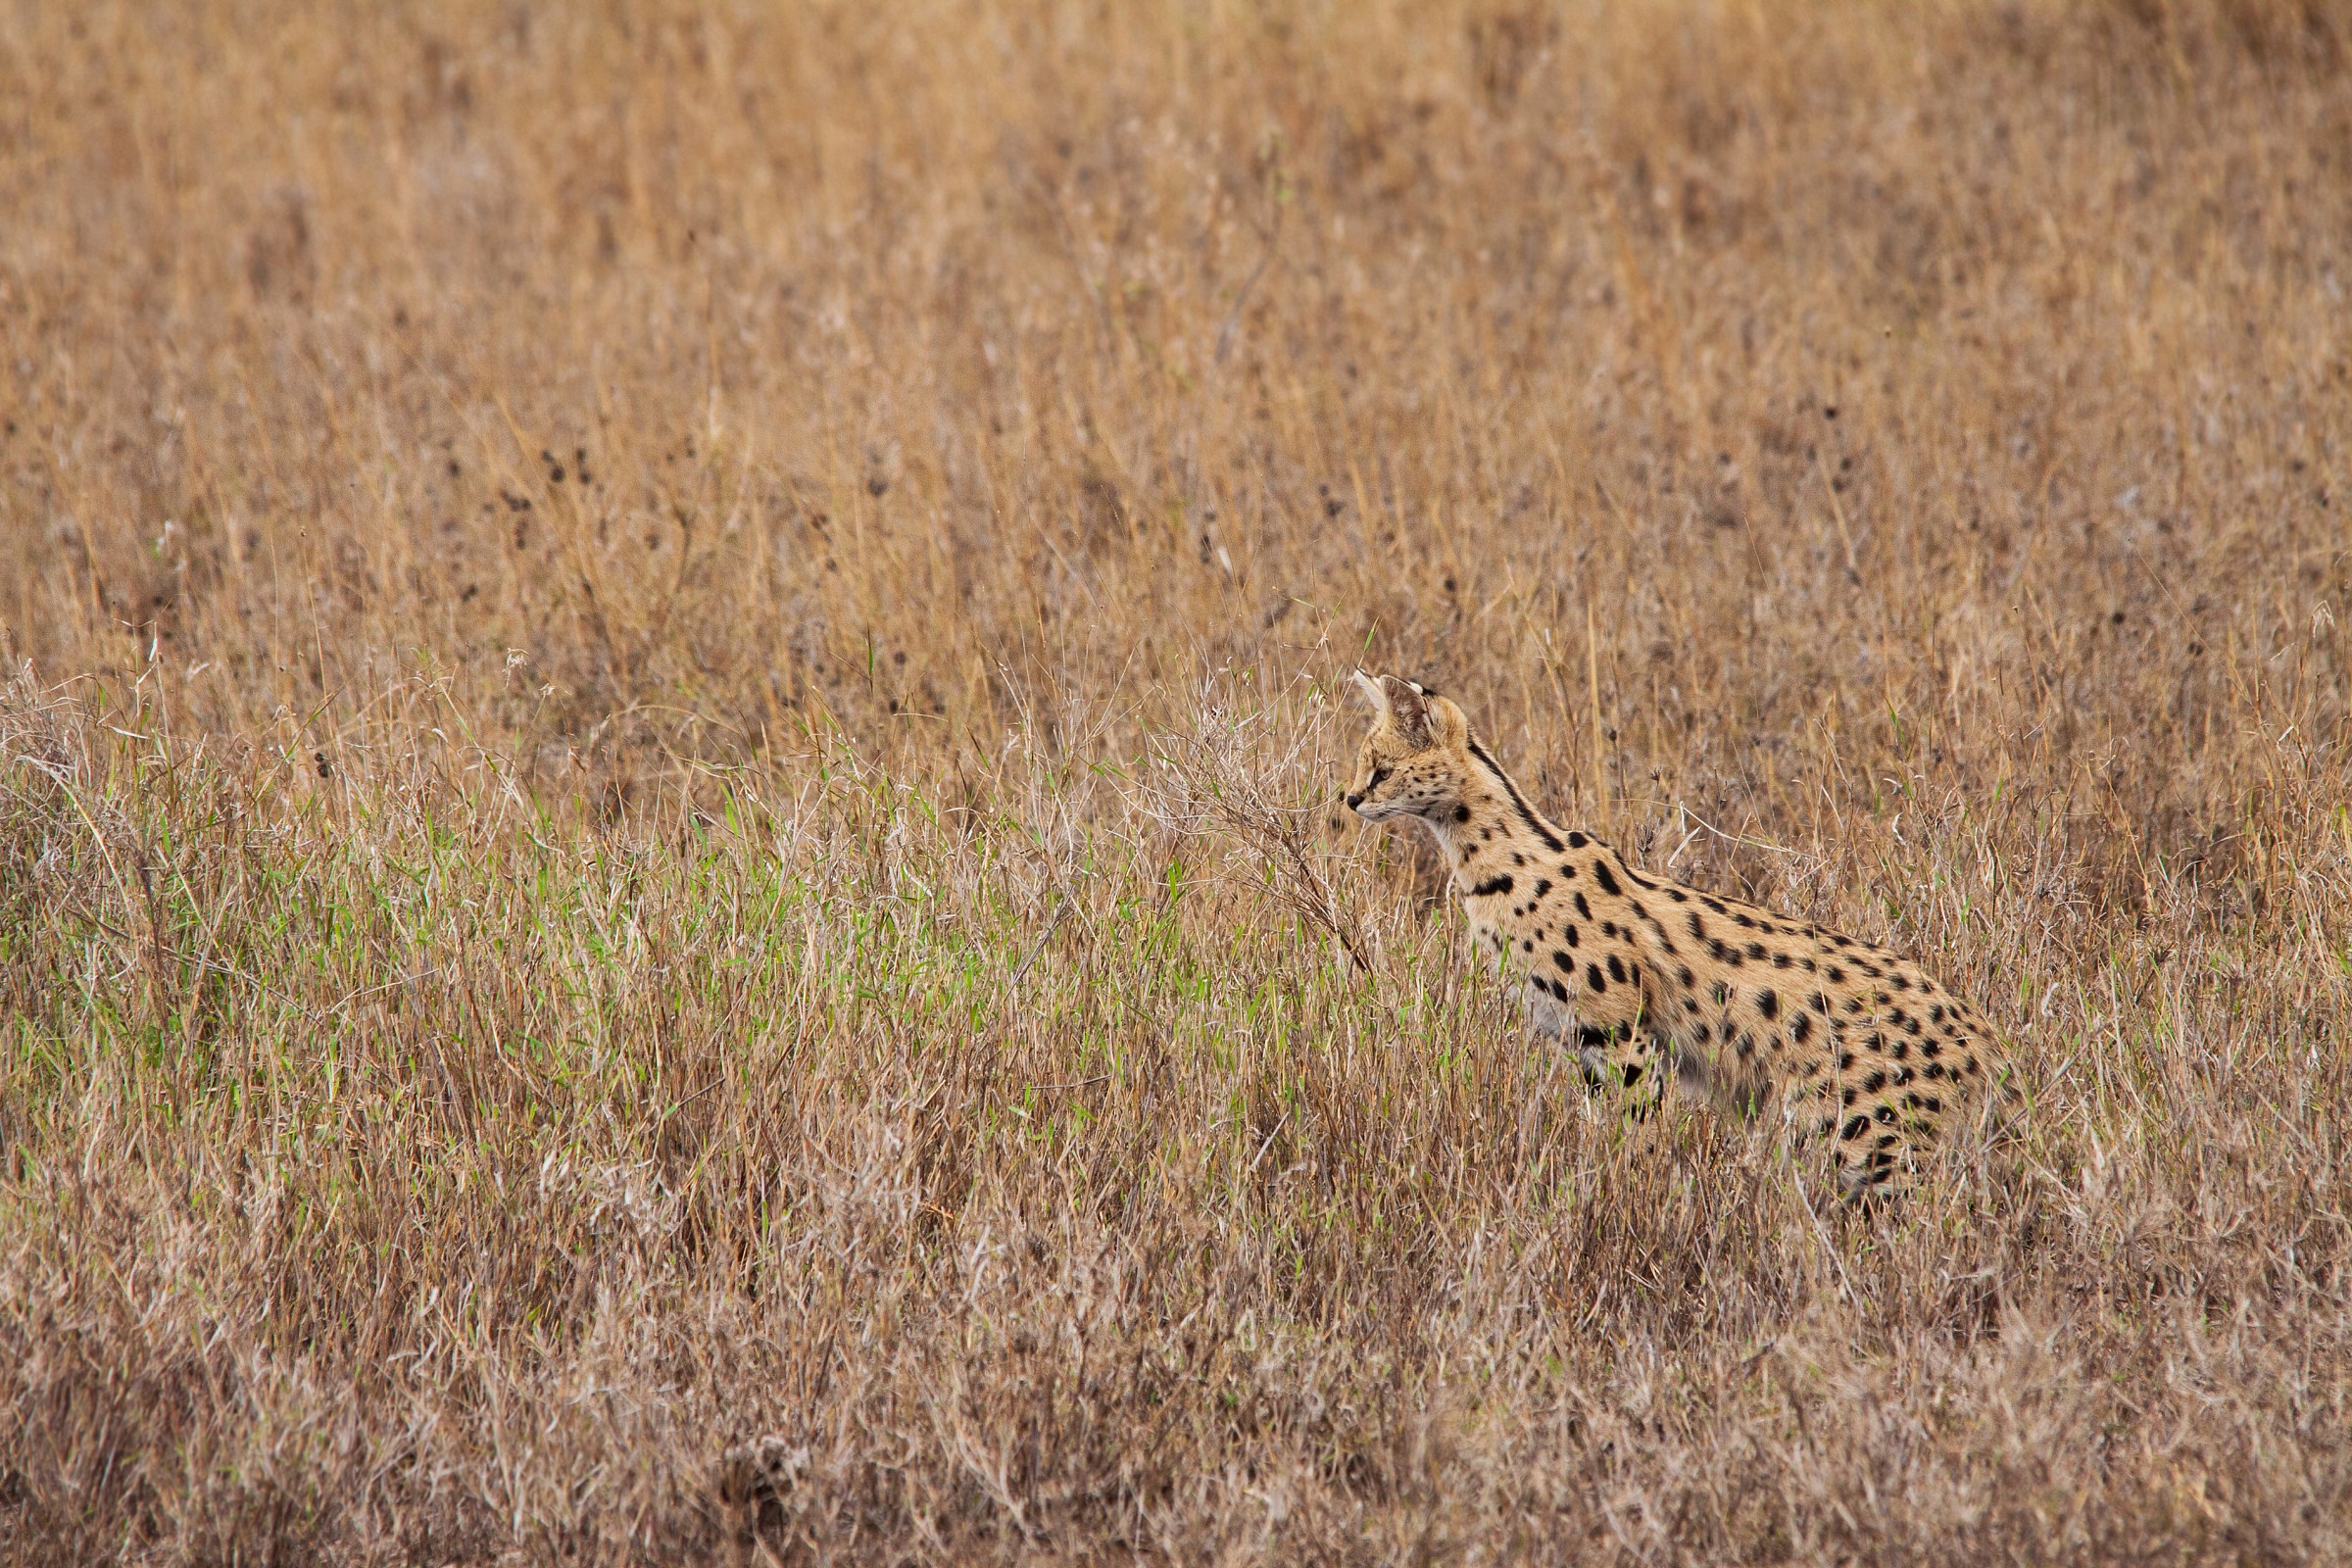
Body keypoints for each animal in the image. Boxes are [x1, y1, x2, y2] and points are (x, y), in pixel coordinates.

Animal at [1342, 670, 2008, 1195]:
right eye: (1364, 765)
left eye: (1381, 769)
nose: (1347, 799)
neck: (1493, 869)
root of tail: (1990, 1045)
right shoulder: (1575, 1043)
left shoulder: (1620, 1039)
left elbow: (1633, 1138)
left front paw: (1625, 1197)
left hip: (1865, 1136)